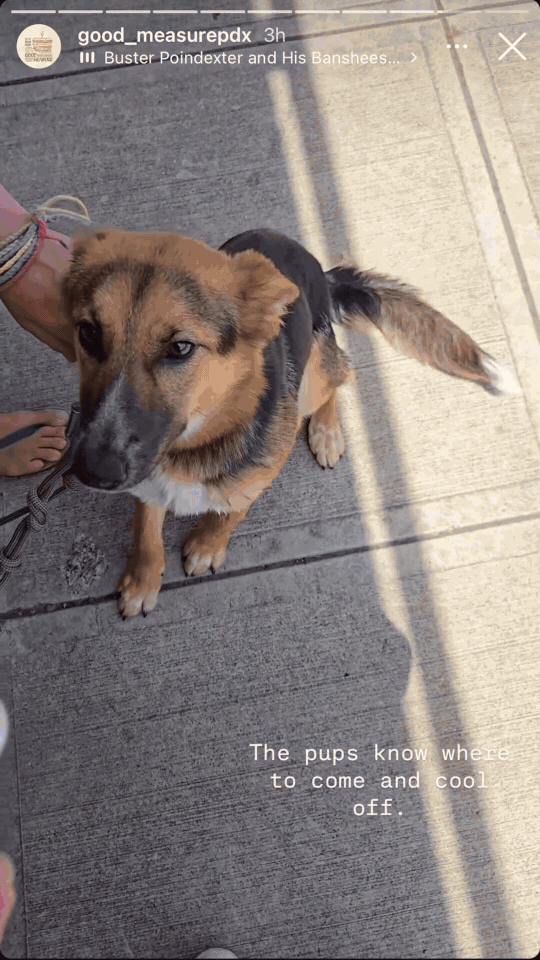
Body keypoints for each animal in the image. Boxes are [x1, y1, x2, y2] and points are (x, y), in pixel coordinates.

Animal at [60, 228, 519, 618]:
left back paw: (327, 432)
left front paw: (208, 544)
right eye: (88, 333)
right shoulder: (145, 482)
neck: (195, 444)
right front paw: (142, 581)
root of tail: (317, 270)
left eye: (180, 348)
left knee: (341, 378)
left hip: (313, 372)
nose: (91, 471)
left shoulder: (260, 474)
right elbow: (144, 531)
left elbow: (231, 513)